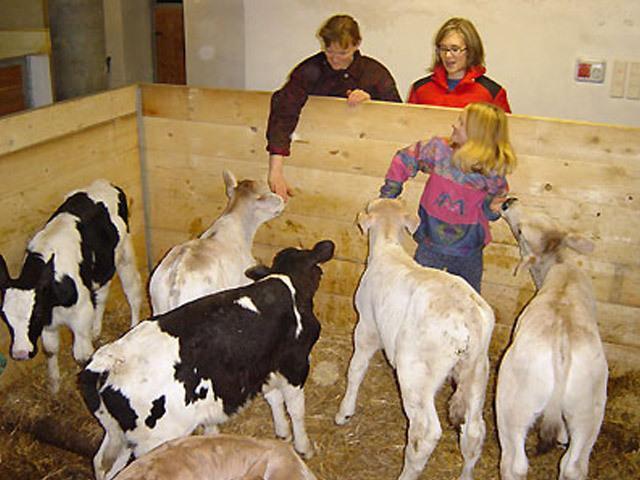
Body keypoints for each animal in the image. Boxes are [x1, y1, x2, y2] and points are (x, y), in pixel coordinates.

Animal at [0, 178, 141, 392]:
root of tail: (106, 183)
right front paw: (54, 385)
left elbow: (82, 356)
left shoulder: (80, 314)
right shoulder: (49, 322)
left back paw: (133, 325)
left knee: (132, 291)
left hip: (124, 254)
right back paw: (96, 329)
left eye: (35, 313)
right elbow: (50, 349)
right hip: (102, 266)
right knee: (102, 293)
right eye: (5, 317)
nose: (21, 353)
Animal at [79, 240, 336, 480]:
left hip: (117, 433)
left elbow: (273, 398)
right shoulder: (295, 363)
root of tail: (113, 358)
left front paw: (282, 432)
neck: (286, 281)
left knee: (102, 463)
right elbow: (296, 409)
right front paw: (303, 446)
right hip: (156, 439)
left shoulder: (263, 366)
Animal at [498, 199, 608, 480]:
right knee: (574, 465)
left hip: (513, 405)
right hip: (589, 408)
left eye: (521, 232)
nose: (509, 202)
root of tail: (562, 348)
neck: (560, 269)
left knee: (515, 463)